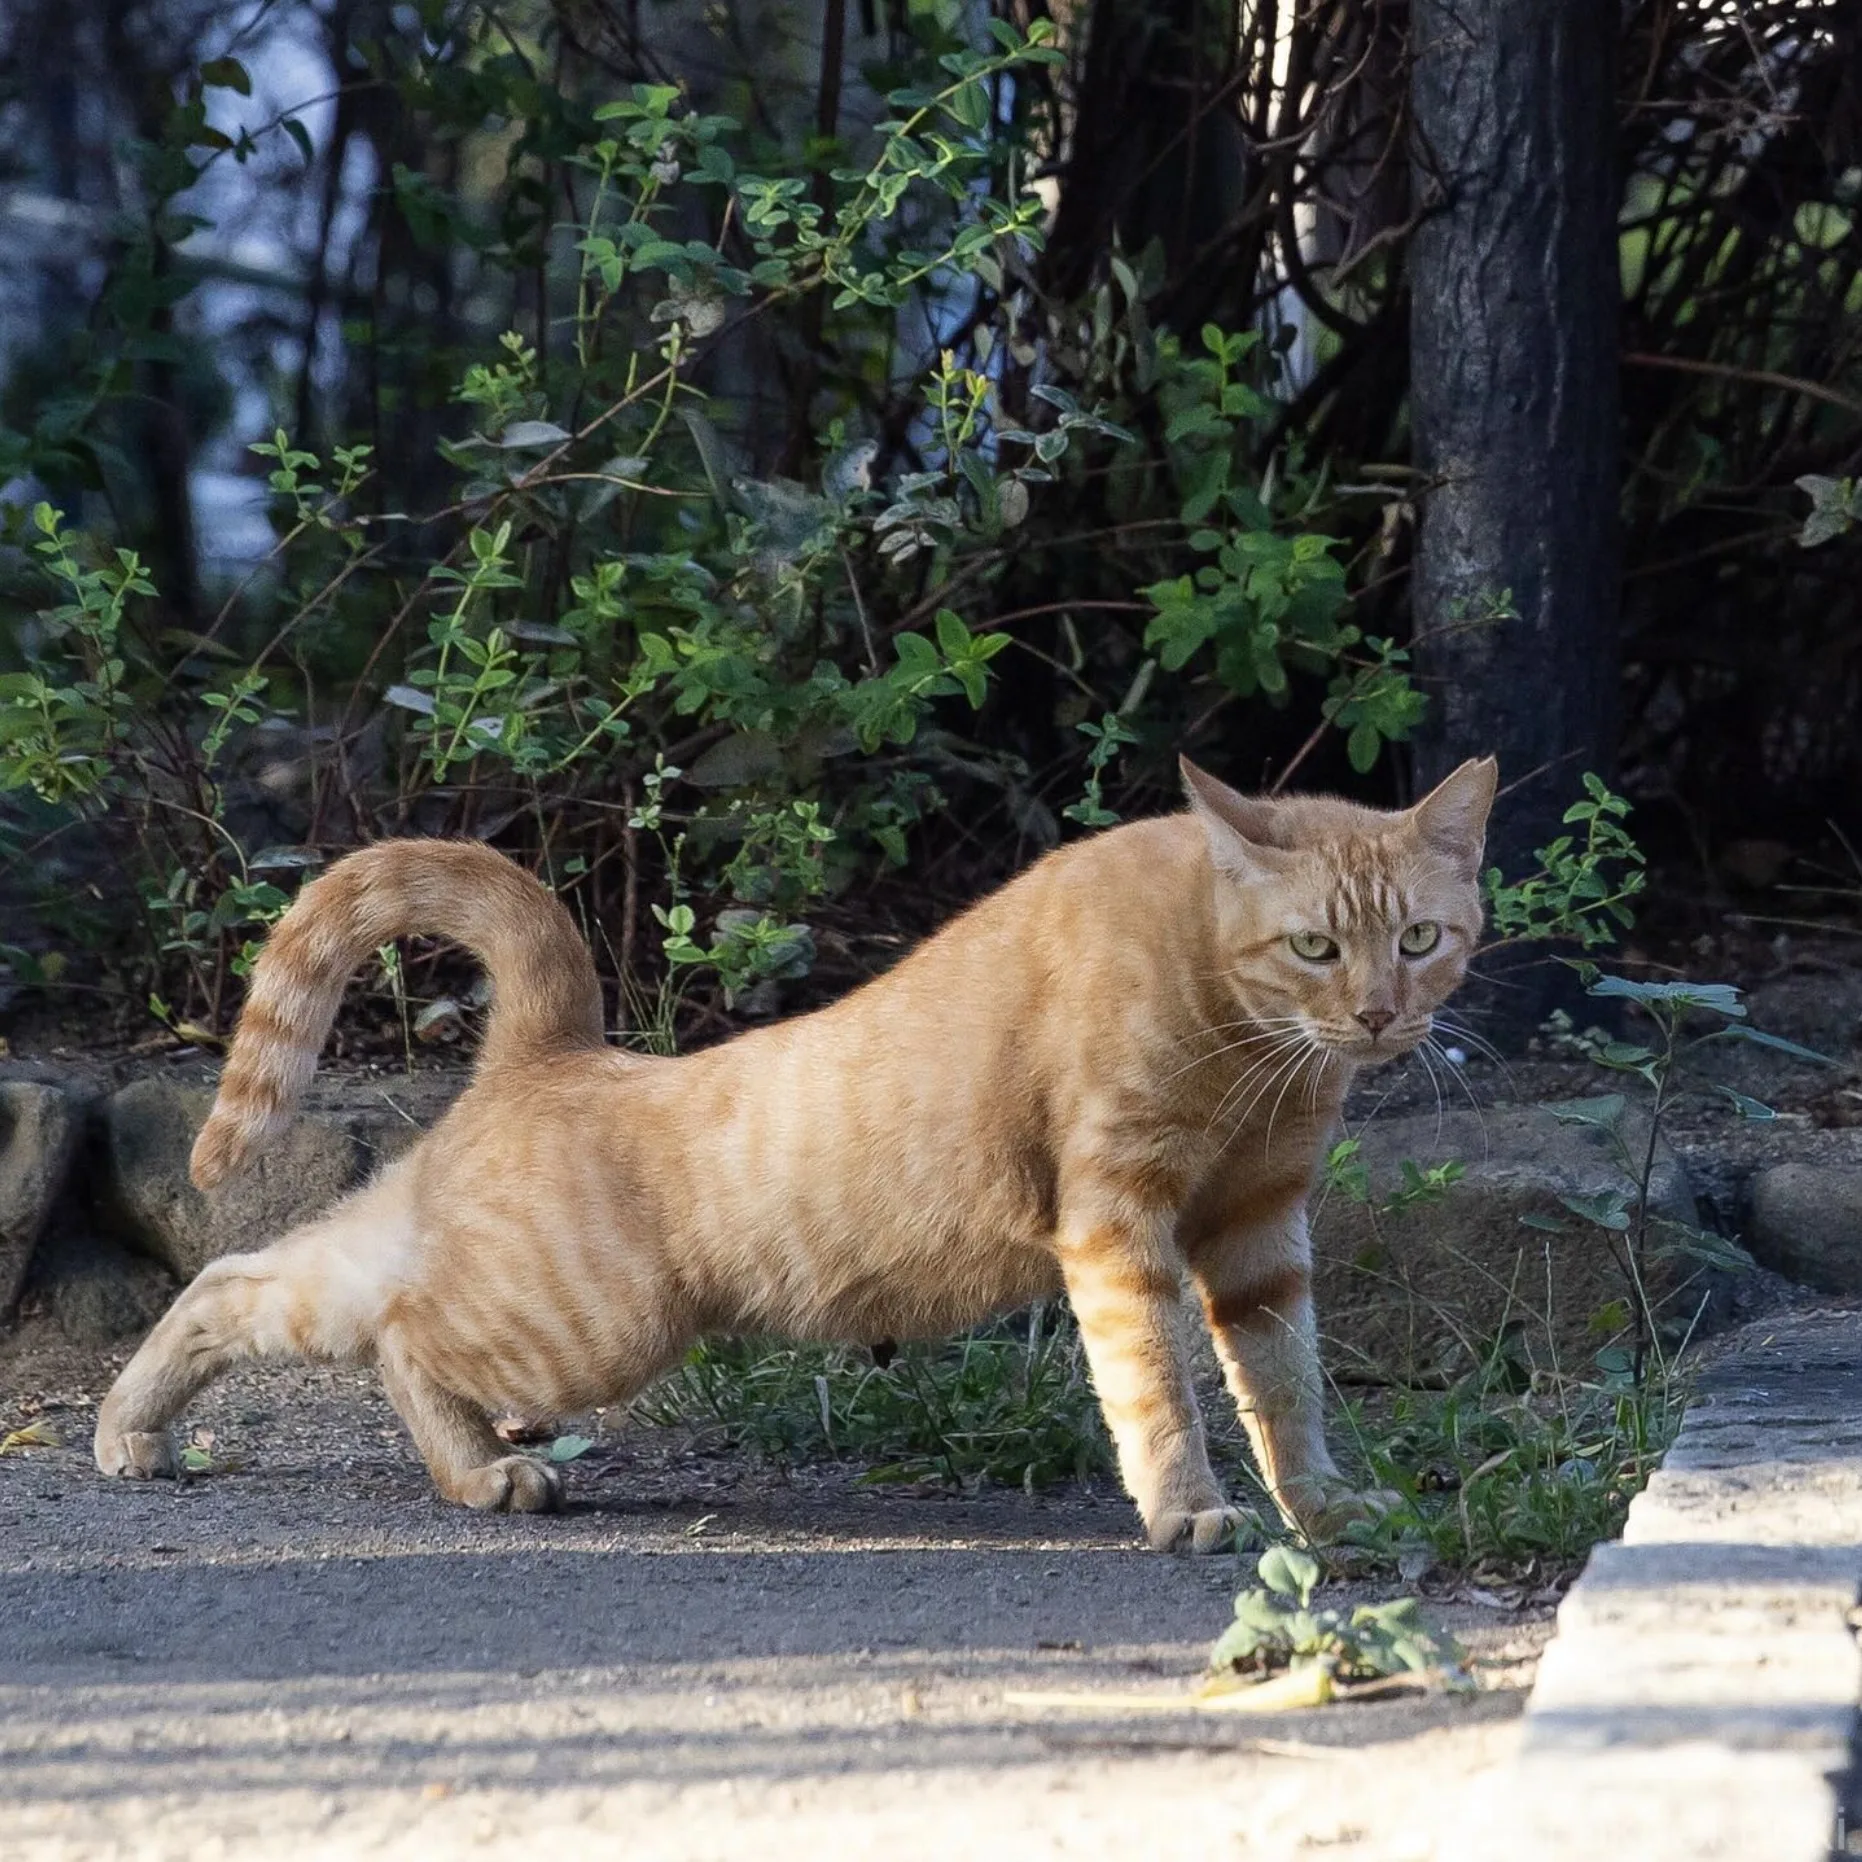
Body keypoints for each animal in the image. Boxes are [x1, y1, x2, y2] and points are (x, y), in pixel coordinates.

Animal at [98, 748, 1497, 1549]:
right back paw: (480, 1472)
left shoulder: (1258, 1227)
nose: (1380, 1013)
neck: (1252, 1049)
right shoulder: (1118, 1219)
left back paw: (134, 1429)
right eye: (1315, 946)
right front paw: (1188, 1506)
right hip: (586, 1326)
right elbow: (1157, 1381)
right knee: (385, 1328)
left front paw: (1319, 1505)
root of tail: (557, 1045)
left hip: (513, 1290)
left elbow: (1286, 1382)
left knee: (253, 1276)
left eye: (1418, 938)